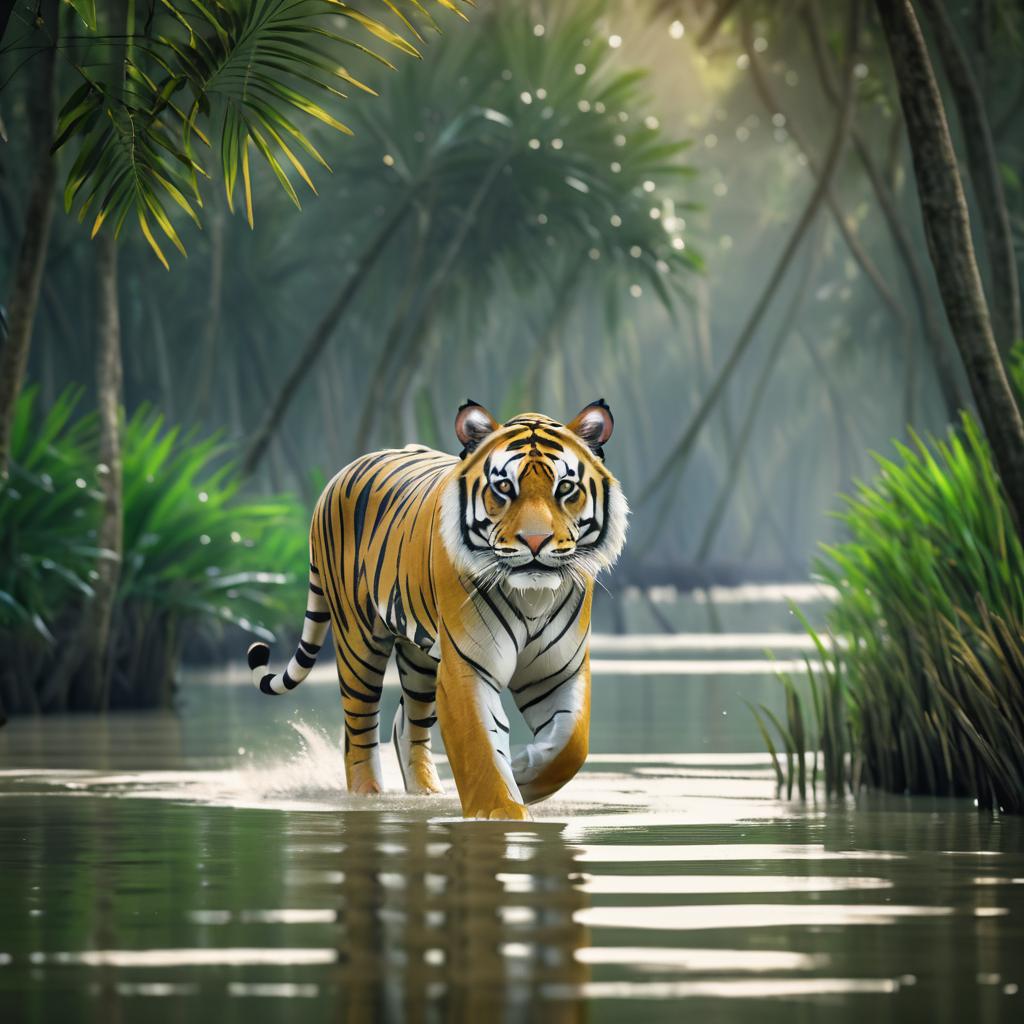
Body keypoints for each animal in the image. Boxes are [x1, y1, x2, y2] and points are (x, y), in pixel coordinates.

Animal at [247, 399, 626, 815]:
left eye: (566, 488)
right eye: (504, 488)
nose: (535, 541)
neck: (533, 597)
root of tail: (337, 477)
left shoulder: (558, 671)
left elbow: (572, 746)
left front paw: (523, 774)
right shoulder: (468, 667)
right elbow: (480, 747)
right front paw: (503, 810)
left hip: (420, 655)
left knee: (406, 724)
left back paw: (428, 795)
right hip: (357, 641)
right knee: (358, 732)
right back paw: (368, 797)